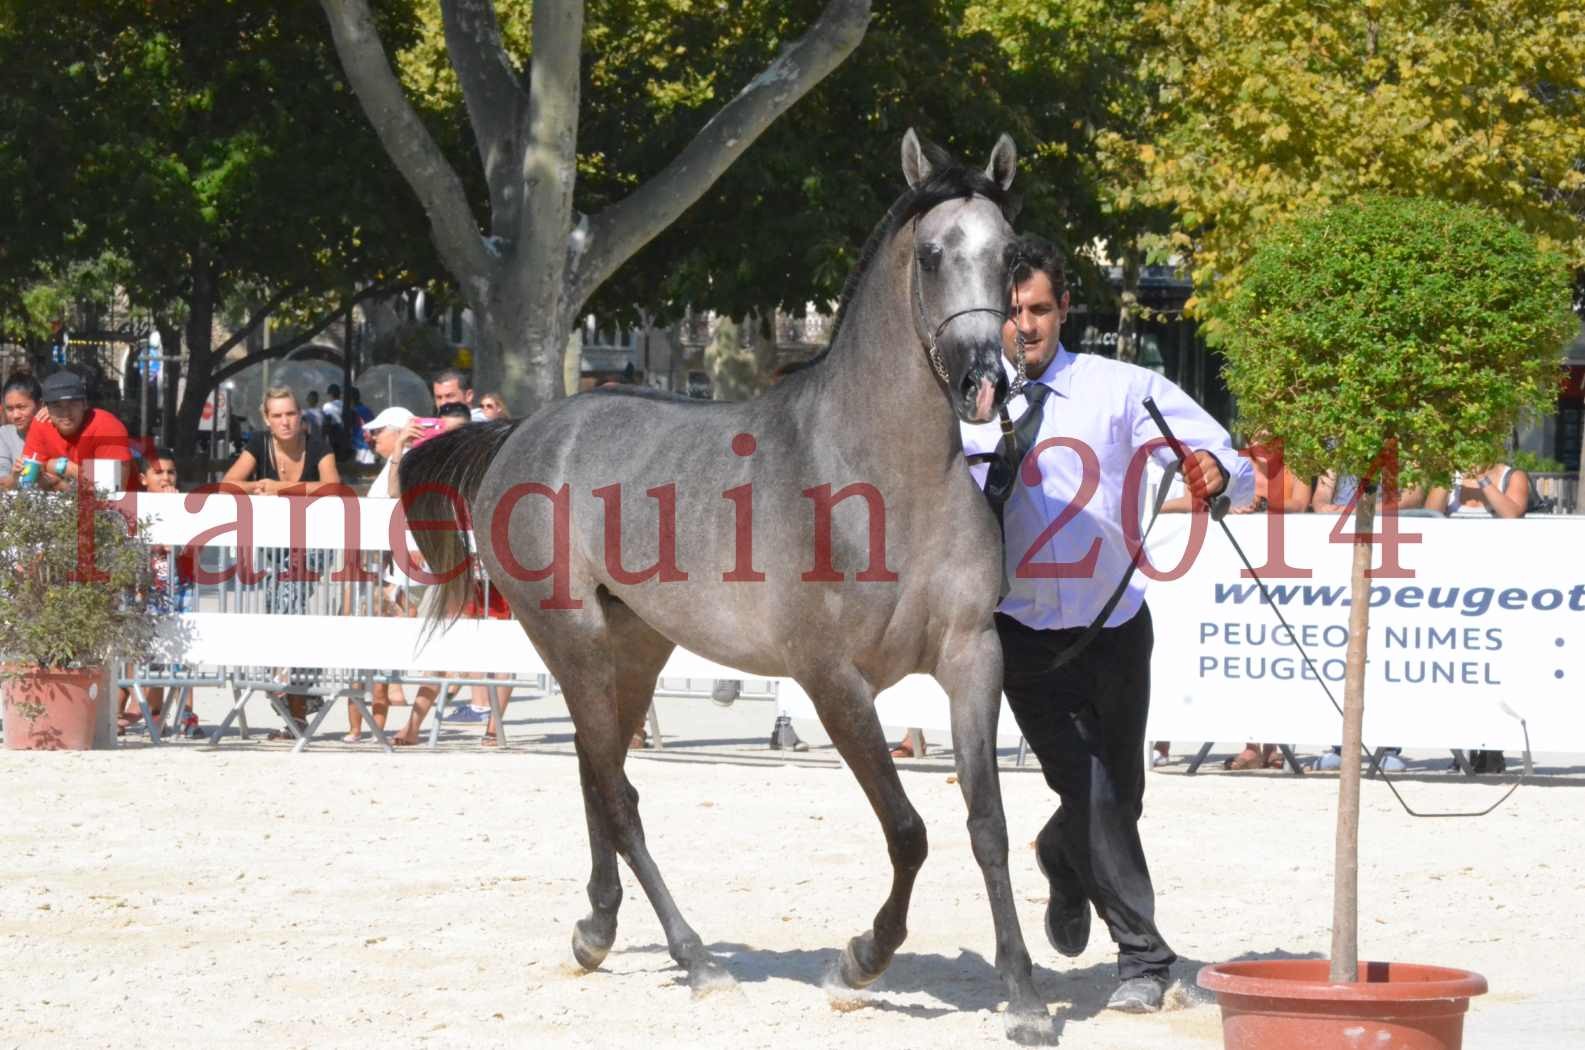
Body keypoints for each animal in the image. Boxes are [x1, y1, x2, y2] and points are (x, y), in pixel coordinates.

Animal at [402, 134, 1058, 1046]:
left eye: (1007, 256)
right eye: (930, 255)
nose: (982, 382)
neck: (882, 479)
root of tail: (523, 431)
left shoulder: (970, 659)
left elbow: (987, 825)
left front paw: (1024, 996)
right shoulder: (832, 682)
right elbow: (907, 830)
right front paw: (859, 960)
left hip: (635, 647)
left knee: (596, 774)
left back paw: (597, 930)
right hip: (569, 639)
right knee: (617, 791)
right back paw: (696, 959)